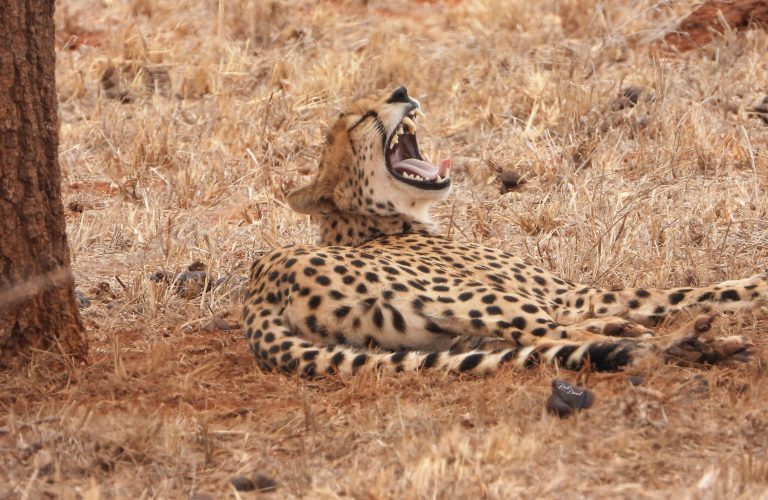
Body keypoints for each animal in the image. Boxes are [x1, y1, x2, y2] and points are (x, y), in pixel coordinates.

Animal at [243, 87, 764, 376]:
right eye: (361, 119)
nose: (401, 92)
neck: (378, 222)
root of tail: (258, 290)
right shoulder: (572, 294)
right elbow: (690, 291)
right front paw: (753, 287)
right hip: (476, 297)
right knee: (560, 336)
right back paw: (695, 343)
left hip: (431, 334)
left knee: (546, 339)